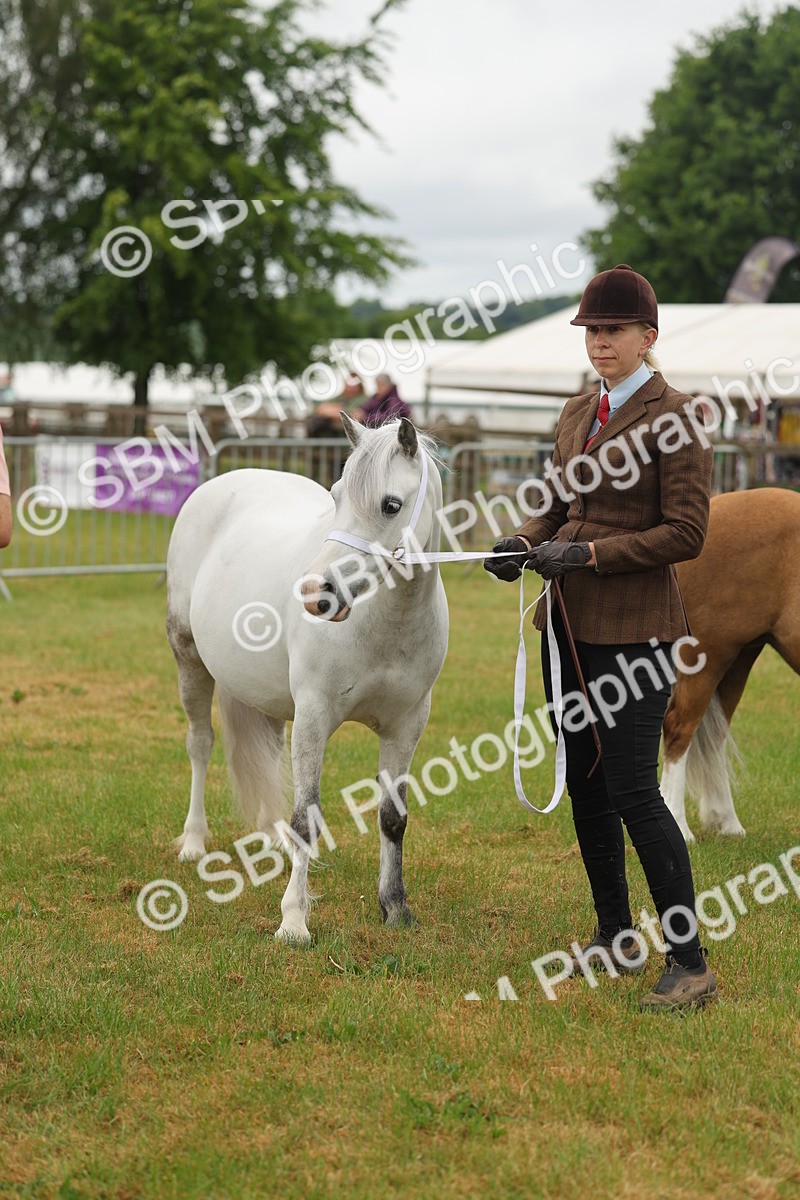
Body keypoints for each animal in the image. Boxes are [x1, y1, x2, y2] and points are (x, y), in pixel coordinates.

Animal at [165, 415, 449, 943]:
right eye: (336, 496)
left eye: (391, 505)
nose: (318, 592)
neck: (384, 623)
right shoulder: (315, 717)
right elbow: (307, 819)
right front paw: (294, 921)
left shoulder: (406, 726)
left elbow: (392, 818)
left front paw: (395, 907)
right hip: (188, 661)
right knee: (200, 744)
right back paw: (193, 842)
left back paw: (269, 839)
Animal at [661, 487, 800, 841]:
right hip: (707, 657)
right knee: (679, 728)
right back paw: (679, 827)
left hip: (739, 659)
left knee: (714, 736)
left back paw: (727, 823)